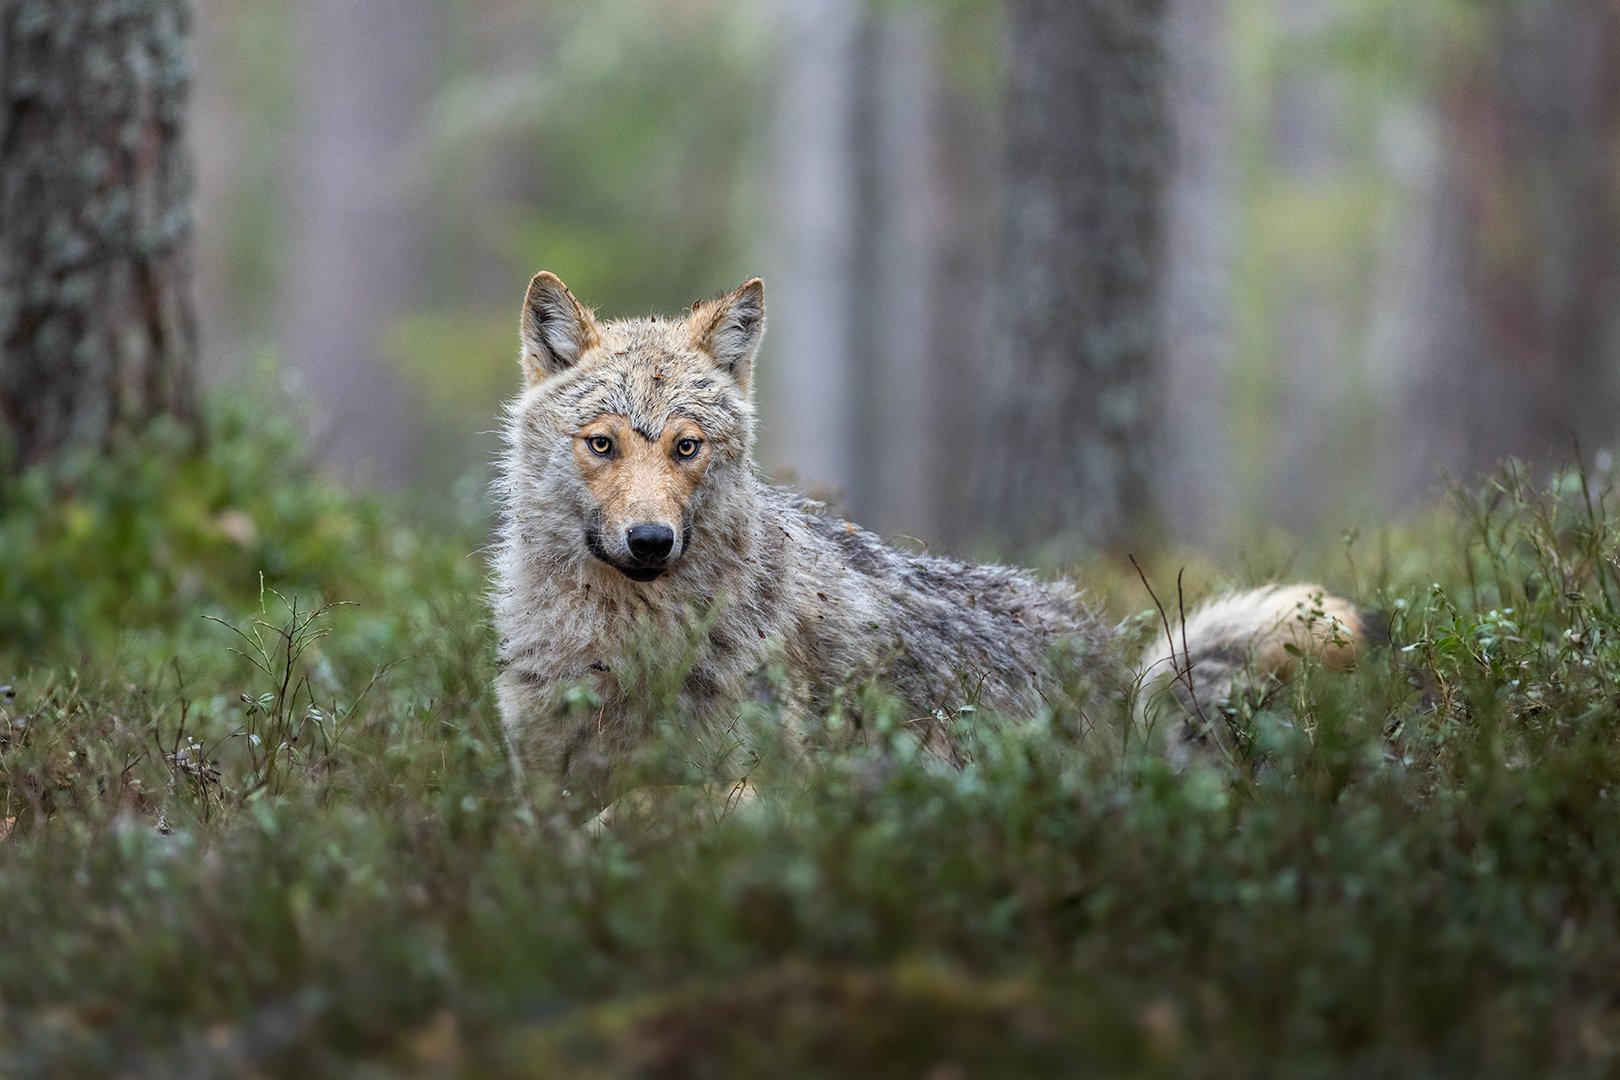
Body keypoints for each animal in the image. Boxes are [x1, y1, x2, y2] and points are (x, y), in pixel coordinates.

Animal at [491, 273, 1366, 809]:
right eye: (603, 444)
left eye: (685, 447)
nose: (650, 540)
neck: (625, 648)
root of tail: (1118, 677)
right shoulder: (542, 789)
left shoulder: (760, 787)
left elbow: (636, 810)